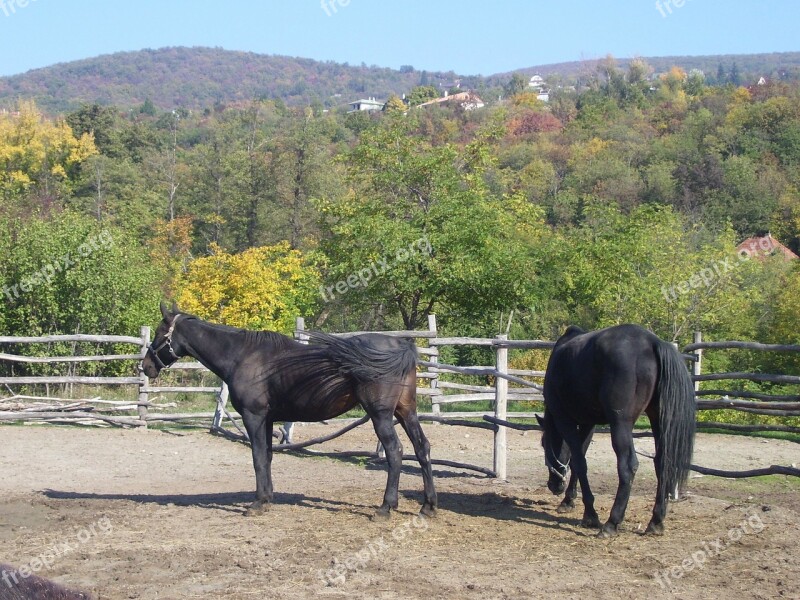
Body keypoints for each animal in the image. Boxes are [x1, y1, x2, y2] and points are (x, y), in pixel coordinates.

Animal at [139, 302, 438, 516]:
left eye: (159, 333)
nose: (145, 366)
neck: (242, 356)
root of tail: (402, 345)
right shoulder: (269, 420)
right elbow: (268, 457)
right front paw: (267, 498)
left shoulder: (254, 417)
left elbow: (258, 458)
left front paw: (257, 504)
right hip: (406, 412)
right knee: (422, 447)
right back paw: (428, 506)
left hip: (381, 416)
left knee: (395, 452)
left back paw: (386, 507)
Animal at [536, 326, 692, 536]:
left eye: (544, 444)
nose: (553, 485)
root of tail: (653, 343)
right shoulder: (588, 424)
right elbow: (578, 460)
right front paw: (568, 501)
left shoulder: (564, 420)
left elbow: (580, 462)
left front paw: (590, 515)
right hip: (658, 419)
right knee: (661, 463)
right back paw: (655, 522)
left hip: (621, 424)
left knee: (628, 466)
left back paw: (611, 523)